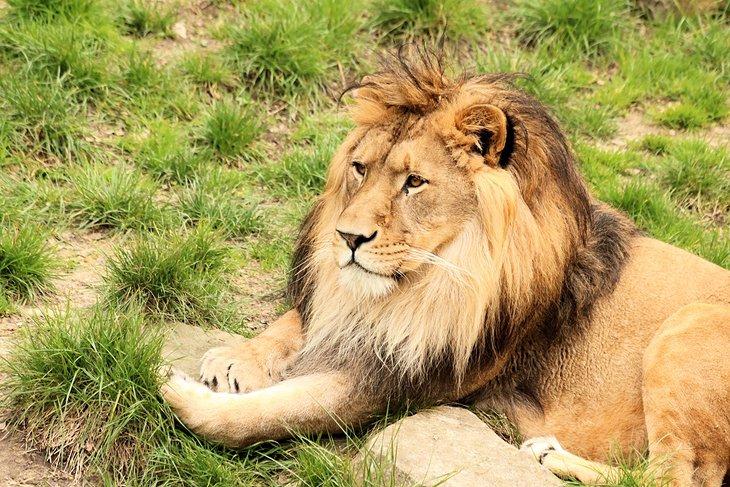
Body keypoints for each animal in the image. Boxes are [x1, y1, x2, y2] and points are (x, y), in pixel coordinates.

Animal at [162, 50, 730, 486]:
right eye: (360, 168)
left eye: (415, 182)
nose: (347, 238)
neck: (435, 278)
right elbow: (306, 317)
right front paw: (236, 358)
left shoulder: (401, 380)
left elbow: (275, 412)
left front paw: (180, 392)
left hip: (688, 326)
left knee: (672, 477)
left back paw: (551, 454)